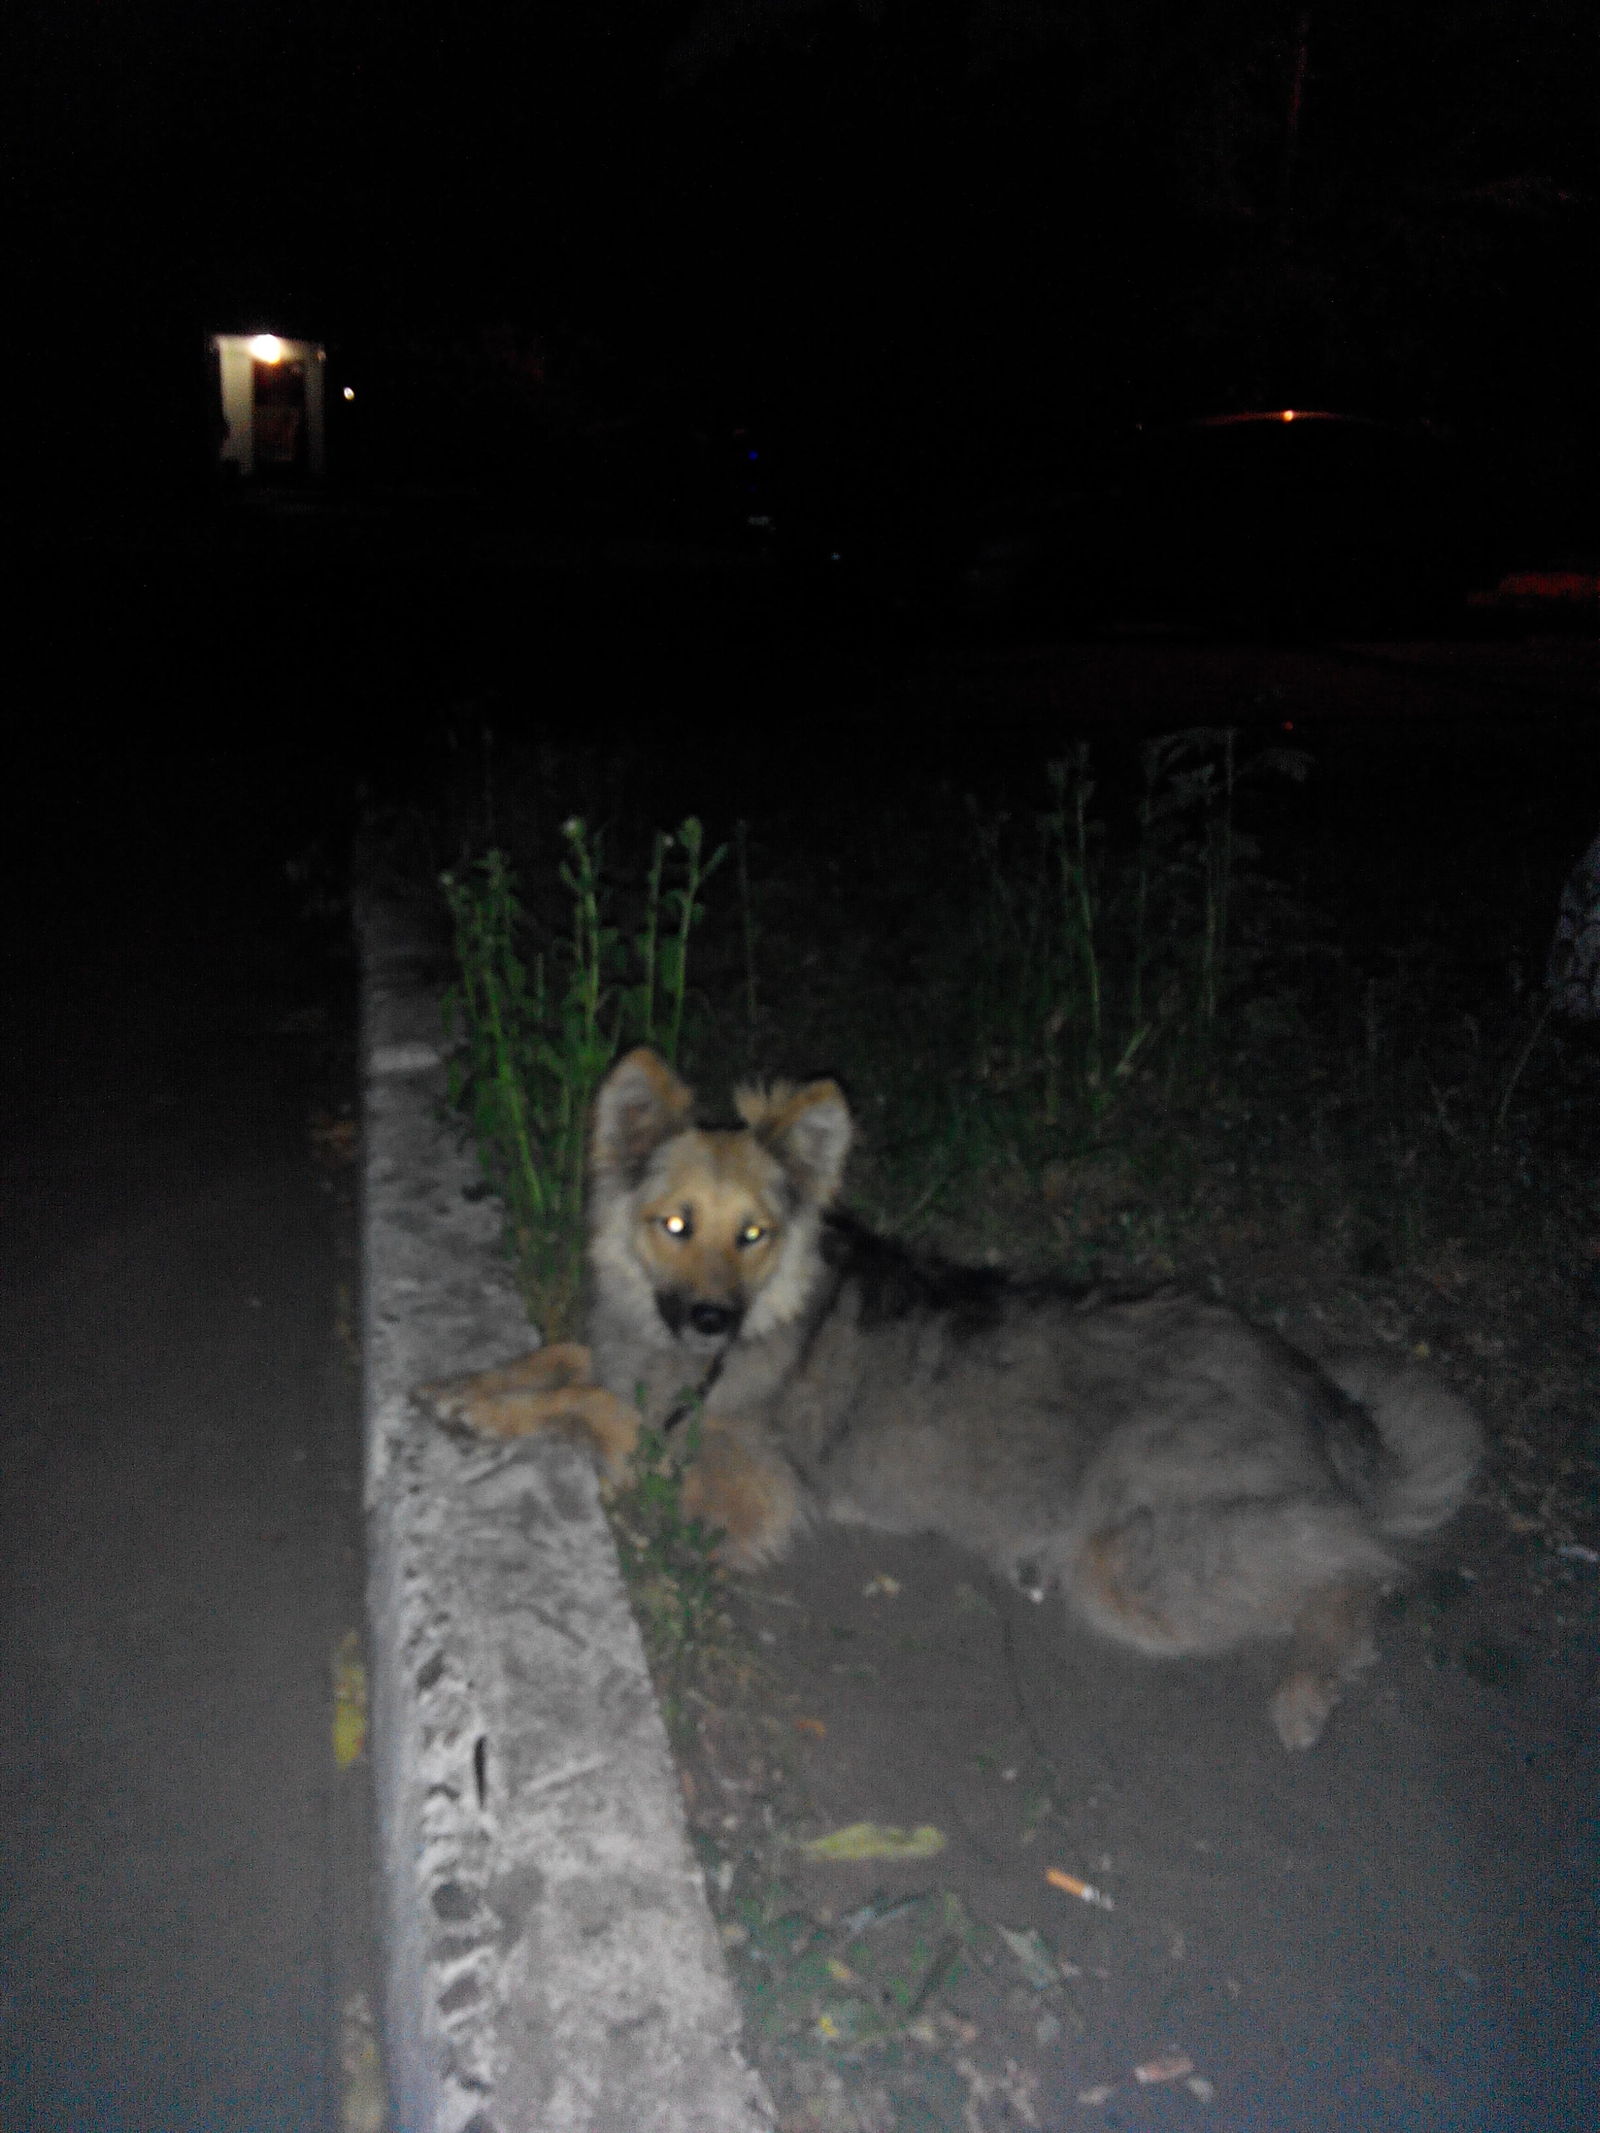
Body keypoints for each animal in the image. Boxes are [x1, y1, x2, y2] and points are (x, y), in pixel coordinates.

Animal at [422, 1049, 1476, 1749]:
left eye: (753, 1232)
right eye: (673, 1224)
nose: (713, 1319)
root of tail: (1332, 1408)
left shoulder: (740, 1493)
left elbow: (594, 1406)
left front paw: (495, 1412)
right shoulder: (621, 1356)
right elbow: (562, 1354)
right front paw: (467, 1381)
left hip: (1133, 1561)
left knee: (1355, 1569)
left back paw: (1308, 1684)